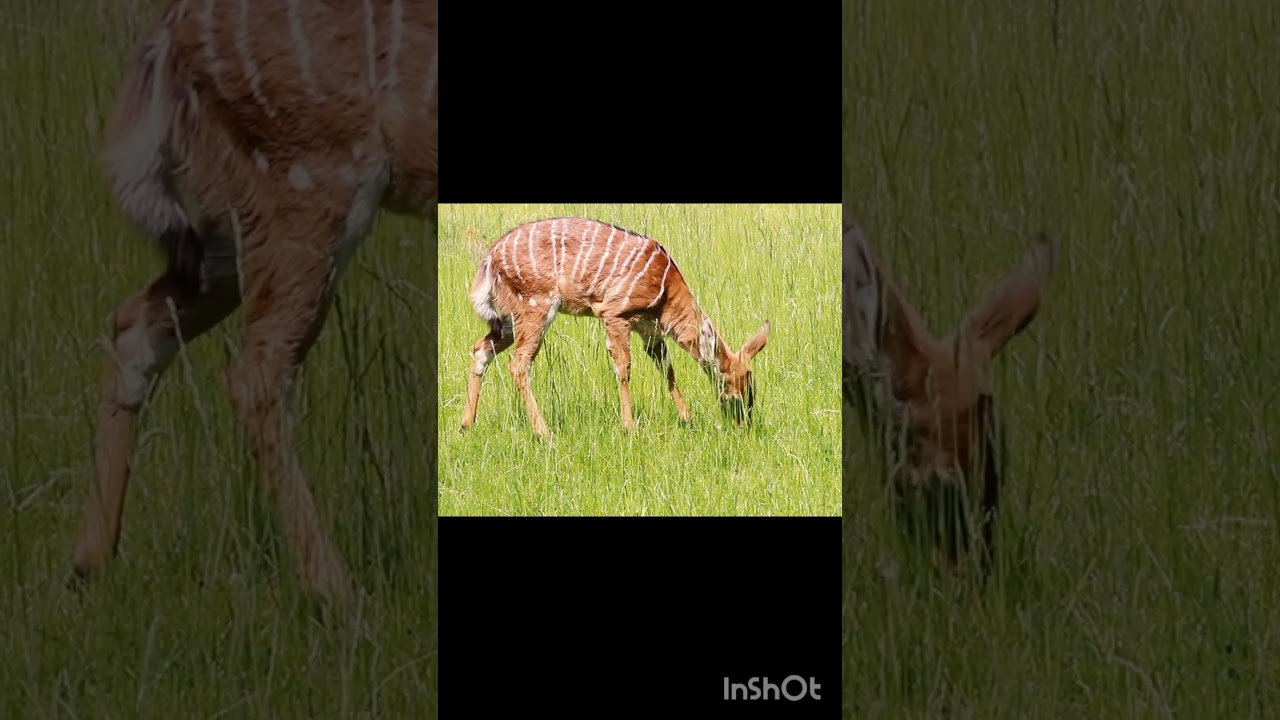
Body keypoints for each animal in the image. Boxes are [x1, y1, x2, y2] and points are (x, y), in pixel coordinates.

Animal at [70, 0, 438, 604]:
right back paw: (338, 592)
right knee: (256, 374)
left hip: (232, 218)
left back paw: (89, 563)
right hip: (308, 183)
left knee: (138, 323)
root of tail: (166, 39)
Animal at [459, 217, 772, 438]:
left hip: (508, 318)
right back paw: (543, 432)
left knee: (481, 348)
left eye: (751, 385)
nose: (744, 424)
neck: (665, 297)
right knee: (519, 363)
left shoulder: (649, 330)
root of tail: (488, 260)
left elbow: (667, 368)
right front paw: (629, 426)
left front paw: (688, 417)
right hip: (535, 306)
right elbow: (624, 367)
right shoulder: (614, 312)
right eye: (734, 387)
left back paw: (466, 424)